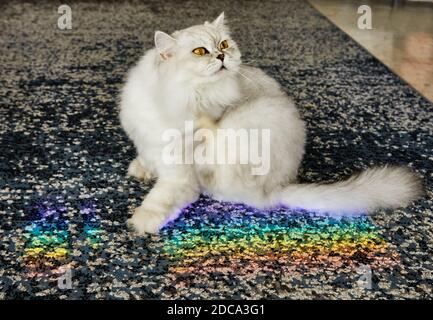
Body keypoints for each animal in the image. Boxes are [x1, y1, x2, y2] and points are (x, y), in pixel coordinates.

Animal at [119, 12, 422, 235]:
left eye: (224, 45)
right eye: (200, 51)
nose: (221, 56)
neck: (172, 98)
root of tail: (278, 188)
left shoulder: (179, 171)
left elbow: (163, 197)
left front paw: (141, 221)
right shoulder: (148, 141)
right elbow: (146, 157)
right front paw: (140, 170)